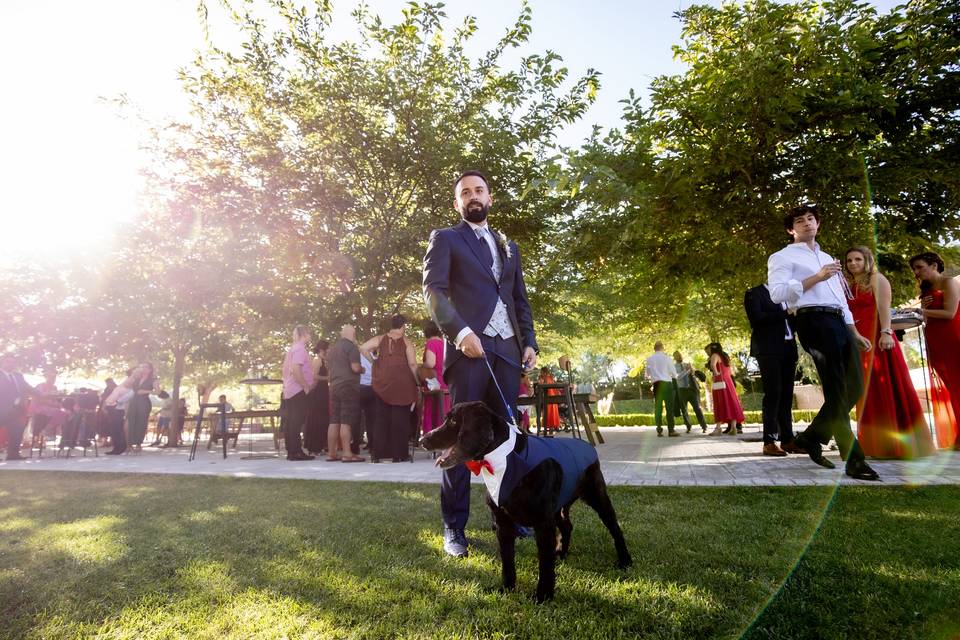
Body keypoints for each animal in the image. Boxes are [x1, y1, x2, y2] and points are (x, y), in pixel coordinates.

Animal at [420, 402, 632, 604]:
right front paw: (506, 588)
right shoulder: (503, 523)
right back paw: (561, 552)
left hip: (597, 496)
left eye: (454, 421)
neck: (506, 459)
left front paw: (543, 596)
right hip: (558, 506)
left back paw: (625, 561)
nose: (422, 440)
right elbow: (507, 561)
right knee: (567, 526)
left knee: (615, 528)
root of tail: (586, 445)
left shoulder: (543, 524)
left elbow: (545, 565)